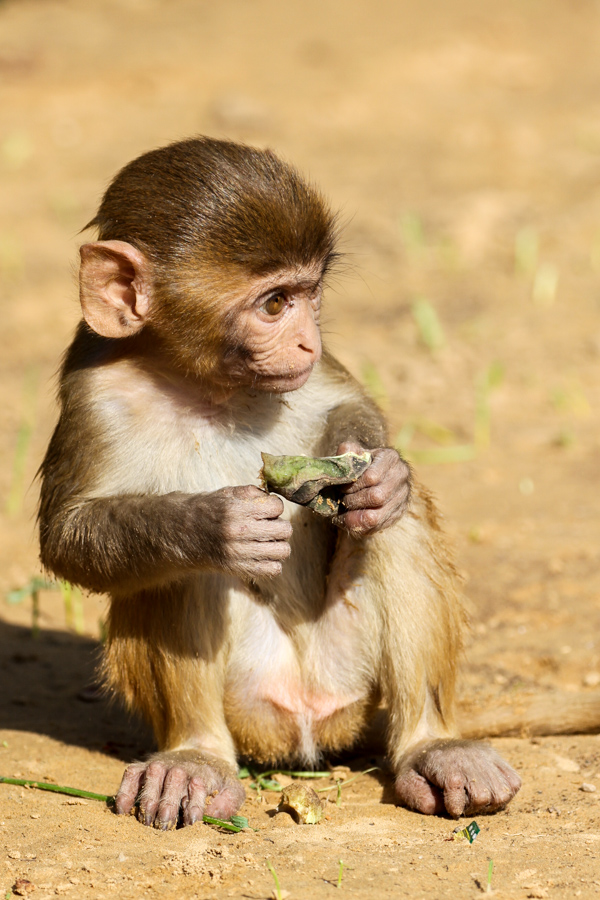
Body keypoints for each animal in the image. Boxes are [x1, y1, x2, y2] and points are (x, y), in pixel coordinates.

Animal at [38, 137, 523, 830]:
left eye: (309, 293)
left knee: (393, 526)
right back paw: (195, 756)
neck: (206, 384)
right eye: (272, 304)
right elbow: (68, 535)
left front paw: (379, 477)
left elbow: (347, 407)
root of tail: (306, 724)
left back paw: (433, 745)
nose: (307, 340)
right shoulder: (92, 390)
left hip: (350, 678)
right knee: (177, 569)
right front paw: (217, 524)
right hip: (252, 702)